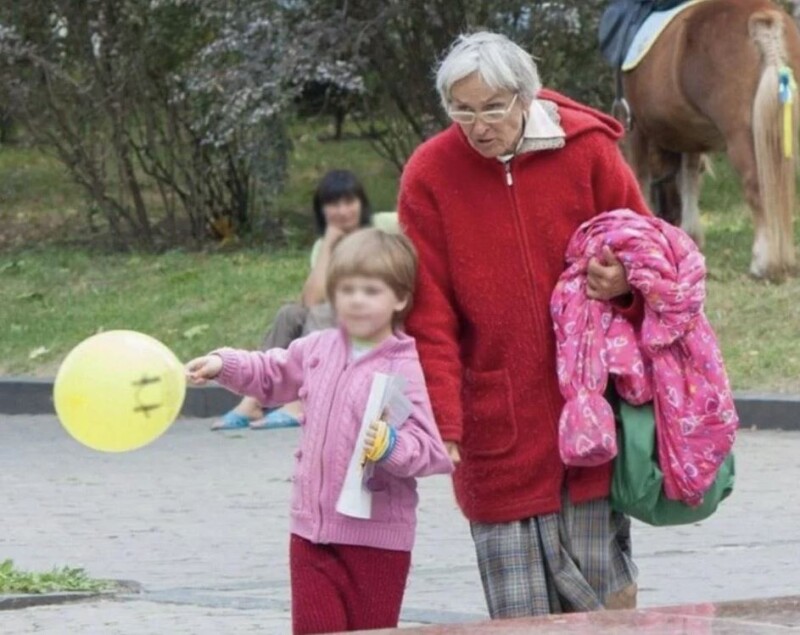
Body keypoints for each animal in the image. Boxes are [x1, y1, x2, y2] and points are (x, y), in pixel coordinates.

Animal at [624, 0, 800, 278]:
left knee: (756, 187)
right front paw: (691, 235)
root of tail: (763, 18)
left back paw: (763, 263)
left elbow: (640, 176)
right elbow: (690, 176)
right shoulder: (688, 134)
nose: (669, 218)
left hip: (740, 136)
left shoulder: (638, 128)